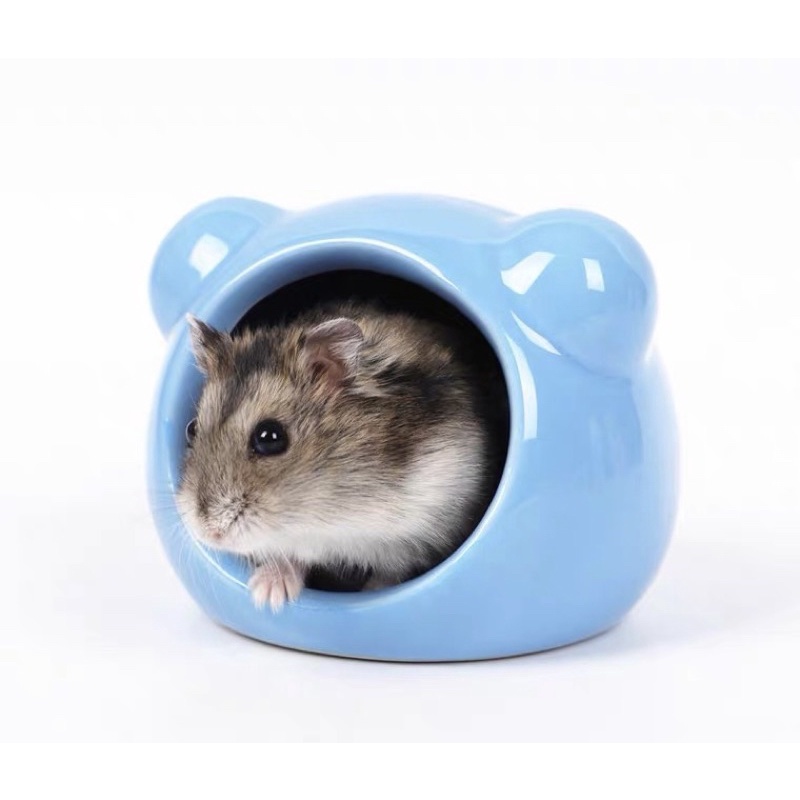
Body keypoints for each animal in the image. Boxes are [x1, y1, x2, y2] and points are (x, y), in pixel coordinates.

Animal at [177, 300, 506, 611]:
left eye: (270, 437)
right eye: (191, 429)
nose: (209, 533)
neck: (331, 510)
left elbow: (391, 574)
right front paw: (267, 594)